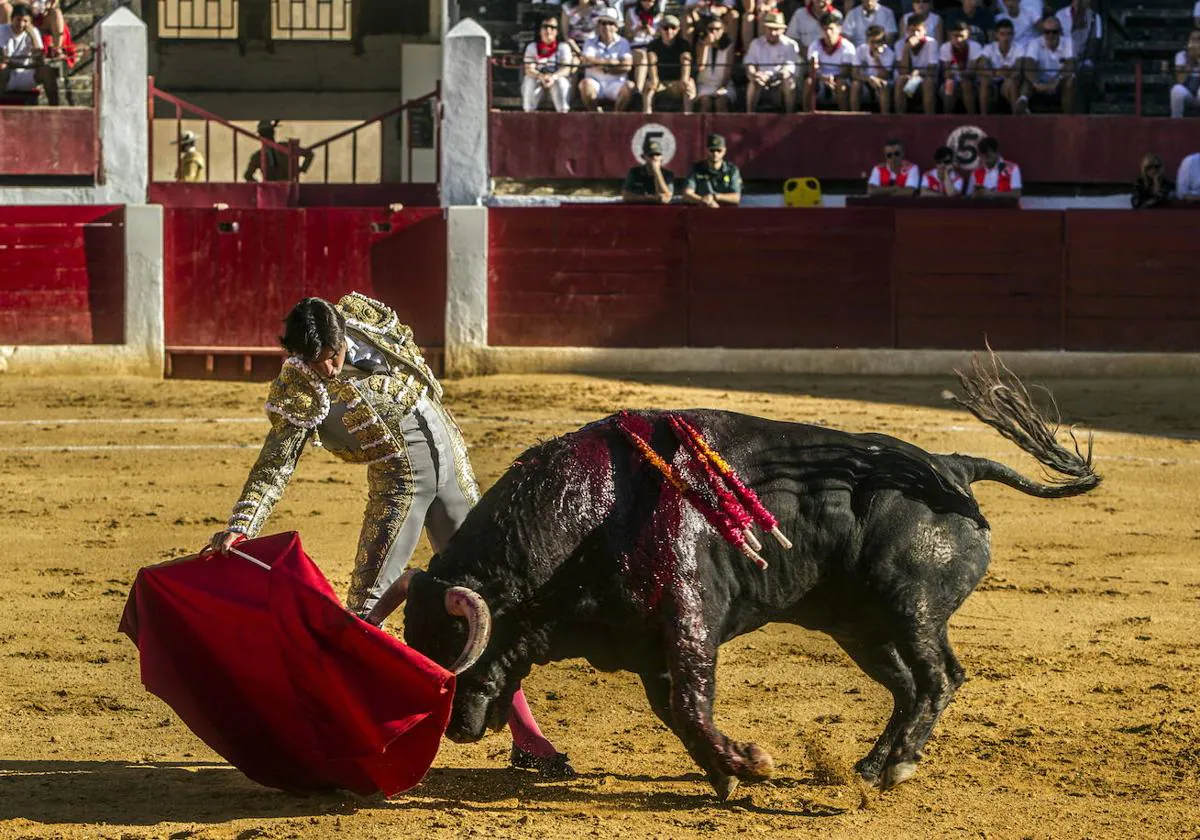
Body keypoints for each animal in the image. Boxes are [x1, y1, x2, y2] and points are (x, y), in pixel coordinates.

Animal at [379, 357, 1099, 796]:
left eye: (453, 645)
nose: (455, 729)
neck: (582, 515)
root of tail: (951, 466)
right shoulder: (650, 645)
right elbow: (675, 709)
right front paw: (728, 773)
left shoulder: (689, 617)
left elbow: (689, 704)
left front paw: (746, 767)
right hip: (861, 627)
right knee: (906, 687)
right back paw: (870, 765)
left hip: (911, 609)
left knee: (940, 678)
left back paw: (897, 767)